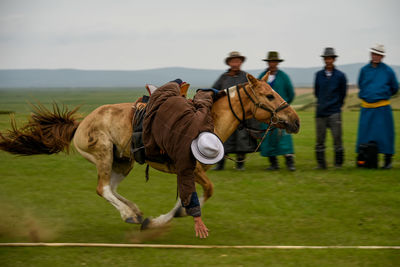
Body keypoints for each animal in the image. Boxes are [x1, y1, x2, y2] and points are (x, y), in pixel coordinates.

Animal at [0, 73, 300, 230]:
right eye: (270, 95)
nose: (295, 121)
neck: (208, 120)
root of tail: (79, 124)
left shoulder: (188, 171)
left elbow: (186, 198)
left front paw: (162, 219)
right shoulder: (193, 169)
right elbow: (205, 192)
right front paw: (164, 220)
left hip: (124, 161)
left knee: (111, 188)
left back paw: (135, 212)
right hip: (103, 154)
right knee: (102, 188)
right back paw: (129, 215)